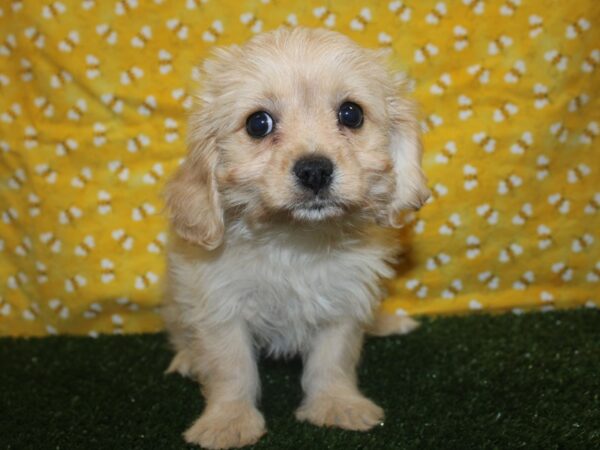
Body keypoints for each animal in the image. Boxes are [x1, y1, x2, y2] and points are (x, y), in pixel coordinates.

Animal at [162, 26, 428, 448]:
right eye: (258, 124)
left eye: (351, 114)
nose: (315, 170)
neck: (294, 239)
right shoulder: (220, 304)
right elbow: (230, 368)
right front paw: (228, 422)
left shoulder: (344, 299)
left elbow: (333, 360)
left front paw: (337, 405)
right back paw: (189, 357)